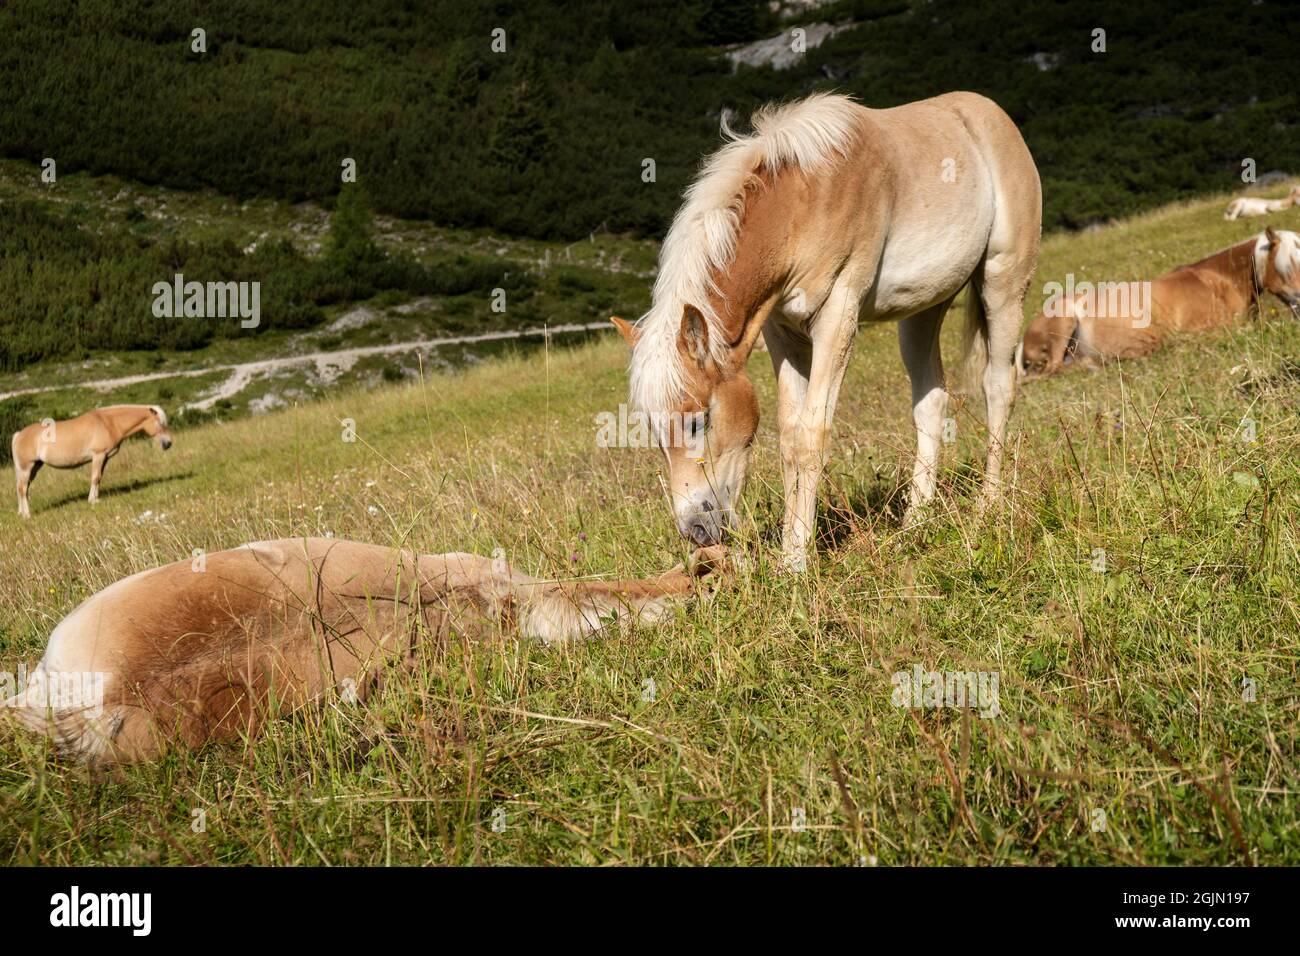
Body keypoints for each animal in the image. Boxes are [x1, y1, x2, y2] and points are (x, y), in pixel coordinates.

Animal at [11, 404, 172, 518]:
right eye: (160, 423)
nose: (168, 444)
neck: (108, 423)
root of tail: (19, 435)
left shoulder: (104, 458)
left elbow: (99, 478)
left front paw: (95, 498)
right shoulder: (98, 455)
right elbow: (95, 478)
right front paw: (92, 501)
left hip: (34, 467)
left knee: (23, 489)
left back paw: (21, 513)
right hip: (26, 467)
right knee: (22, 489)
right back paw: (27, 515)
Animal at [611, 92, 1041, 569]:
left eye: (698, 420)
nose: (696, 530)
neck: (802, 201)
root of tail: (988, 113)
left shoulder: (837, 318)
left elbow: (810, 436)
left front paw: (797, 561)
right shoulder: (782, 334)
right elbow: (789, 438)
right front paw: (789, 549)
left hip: (1003, 284)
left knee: (998, 387)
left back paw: (989, 506)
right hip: (923, 311)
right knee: (930, 401)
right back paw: (916, 521)